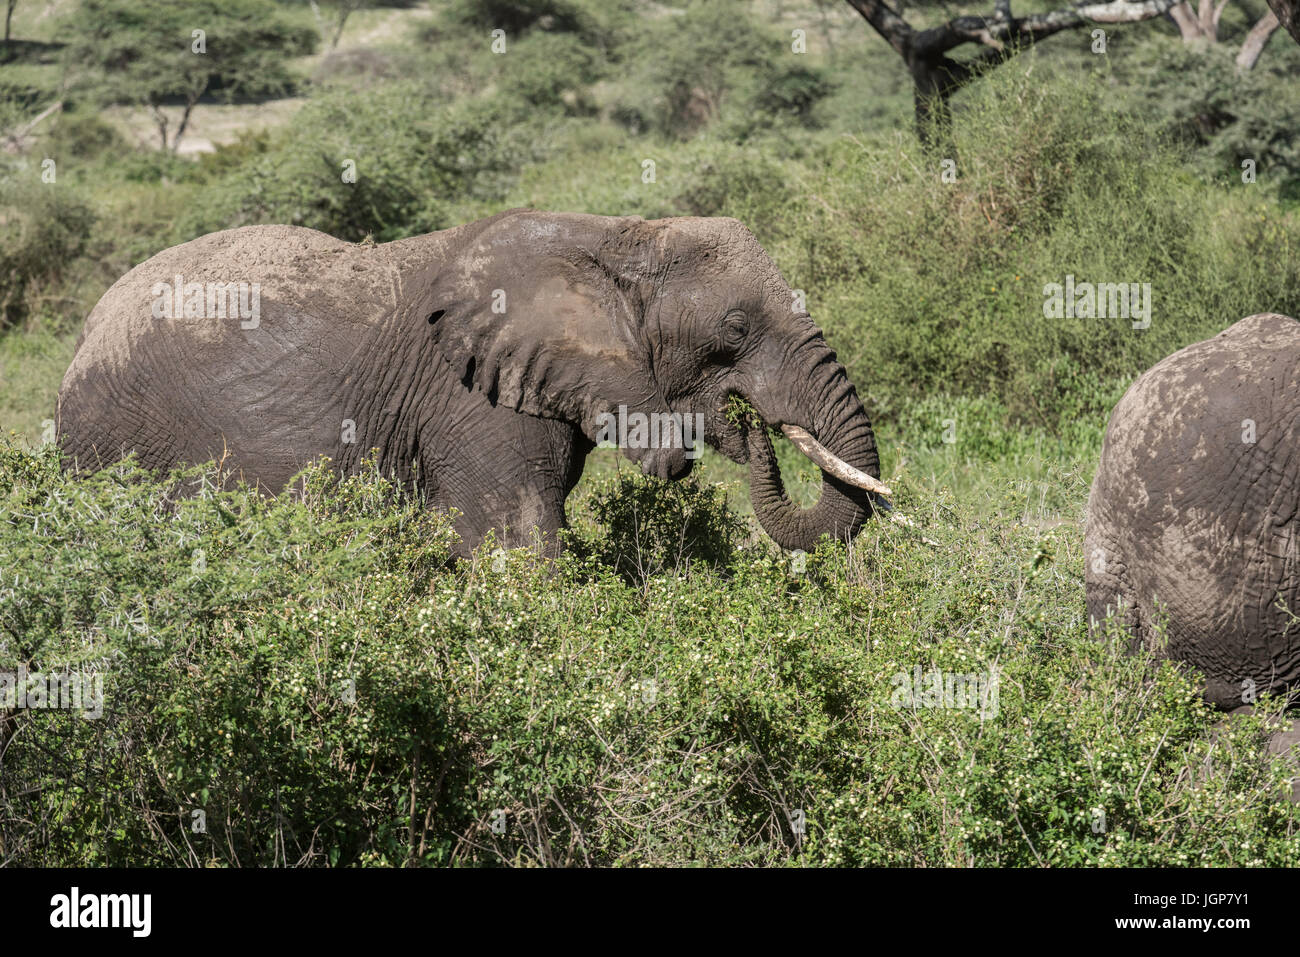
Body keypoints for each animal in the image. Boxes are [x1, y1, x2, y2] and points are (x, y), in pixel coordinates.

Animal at [55, 208, 889, 553]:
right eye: (736, 330)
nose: (748, 427)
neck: (617, 234)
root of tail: (82, 335)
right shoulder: (470, 404)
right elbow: (517, 545)